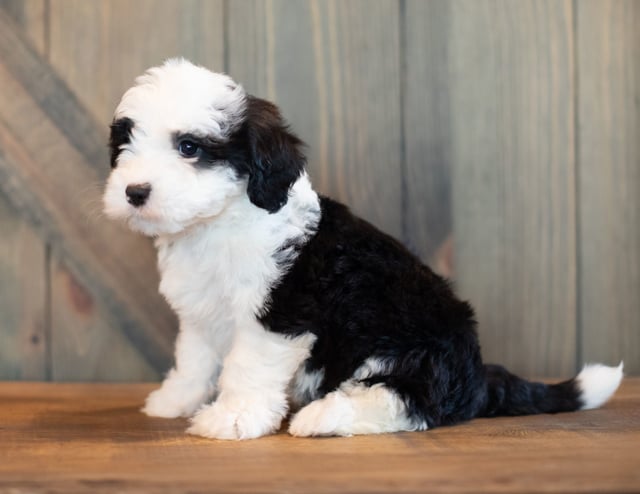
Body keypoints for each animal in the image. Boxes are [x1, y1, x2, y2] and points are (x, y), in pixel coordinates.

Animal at [102, 58, 624, 440]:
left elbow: (246, 368)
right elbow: (195, 359)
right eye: (125, 144)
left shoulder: (279, 314)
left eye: (190, 147)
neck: (218, 224)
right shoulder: (200, 311)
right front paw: (175, 400)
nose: (134, 192)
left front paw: (232, 418)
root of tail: (478, 376)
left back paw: (323, 417)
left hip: (411, 350)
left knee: (409, 403)